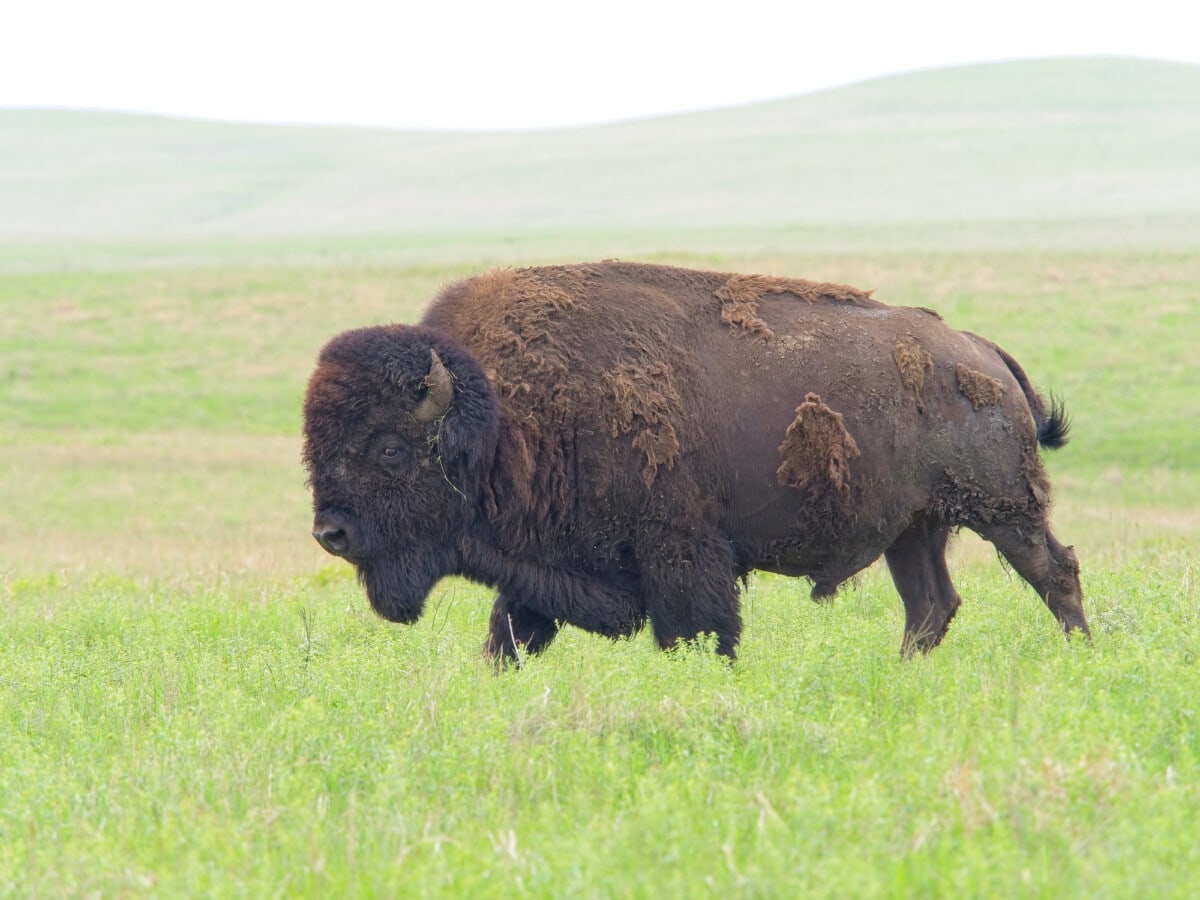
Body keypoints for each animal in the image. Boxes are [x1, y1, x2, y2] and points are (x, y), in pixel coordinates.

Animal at [304, 260, 1094, 662]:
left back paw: (1082, 657)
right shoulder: (538, 567)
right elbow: (510, 634)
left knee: (1053, 571)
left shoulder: (680, 551)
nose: (330, 533)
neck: (500, 419)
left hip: (1004, 505)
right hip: (915, 528)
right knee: (931, 604)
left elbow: (699, 630)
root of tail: (979, 351)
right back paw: (904, 673)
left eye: (389, 448)